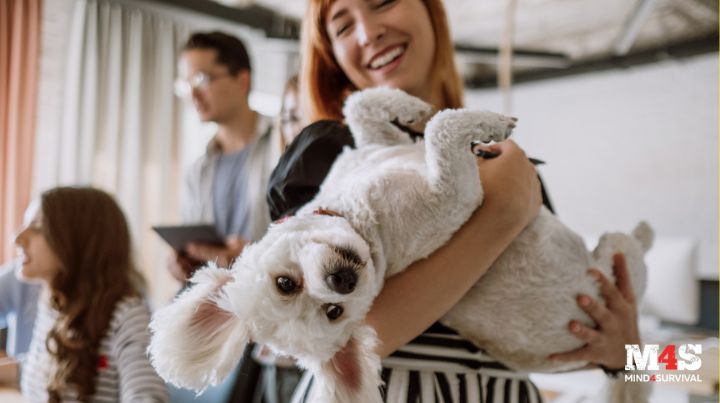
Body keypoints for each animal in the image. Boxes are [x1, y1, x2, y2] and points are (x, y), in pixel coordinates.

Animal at [149, 89, 656, 403]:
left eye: (284, 283)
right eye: (334, 313)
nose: (342, 280)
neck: (356, 209)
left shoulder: (377, 146)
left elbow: (363, 106)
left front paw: (411, 106)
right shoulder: (457, 196)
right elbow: (441, 131)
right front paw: (489, 124)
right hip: (616, 258)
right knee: (631, 248)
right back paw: (645, 231)